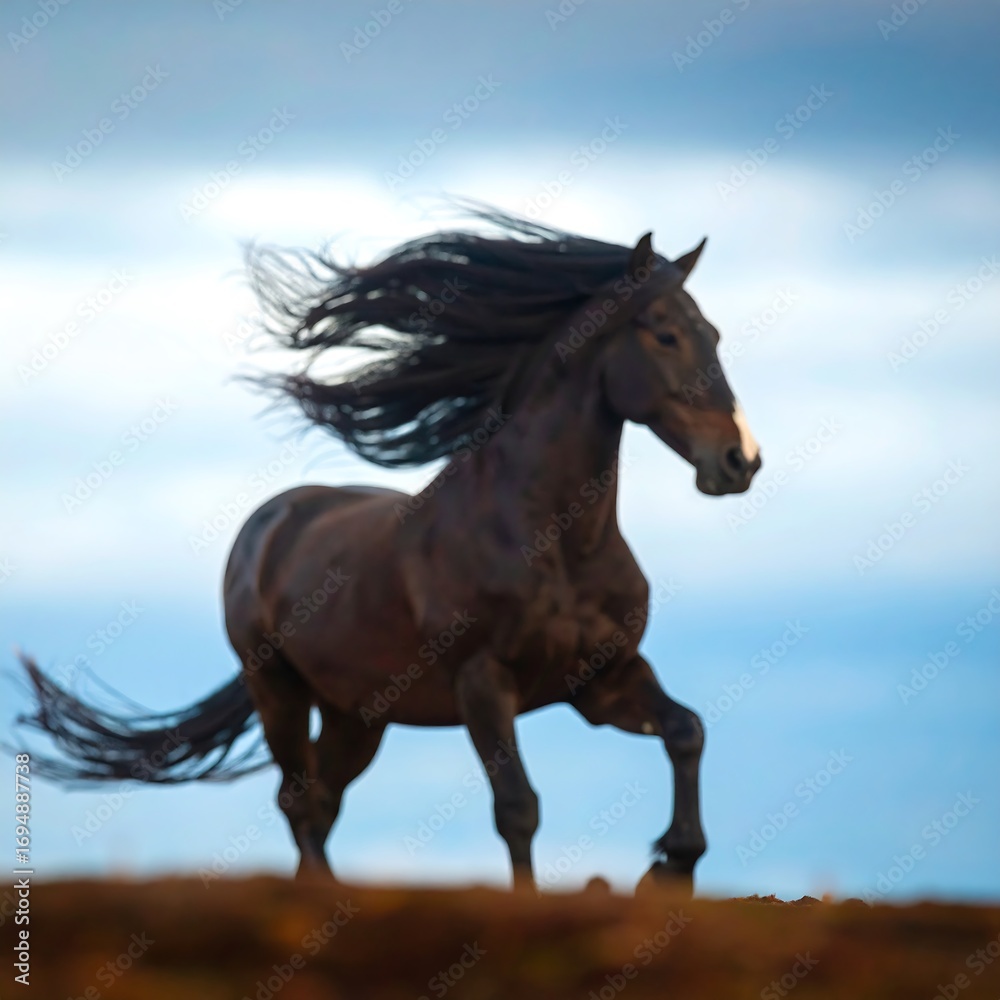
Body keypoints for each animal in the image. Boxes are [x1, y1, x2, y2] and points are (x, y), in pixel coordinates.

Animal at [17, 208, 762, 891]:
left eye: (714, 335)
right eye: (665, 334)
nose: (740, 460)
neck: (558, 545)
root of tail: (270, 522)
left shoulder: (601, 680)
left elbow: (687, 732)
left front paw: (671, 863)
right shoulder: (483, 684)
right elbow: (517, 808)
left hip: (359, 715)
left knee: (320, 801)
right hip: (278, 690)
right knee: (298, 799)